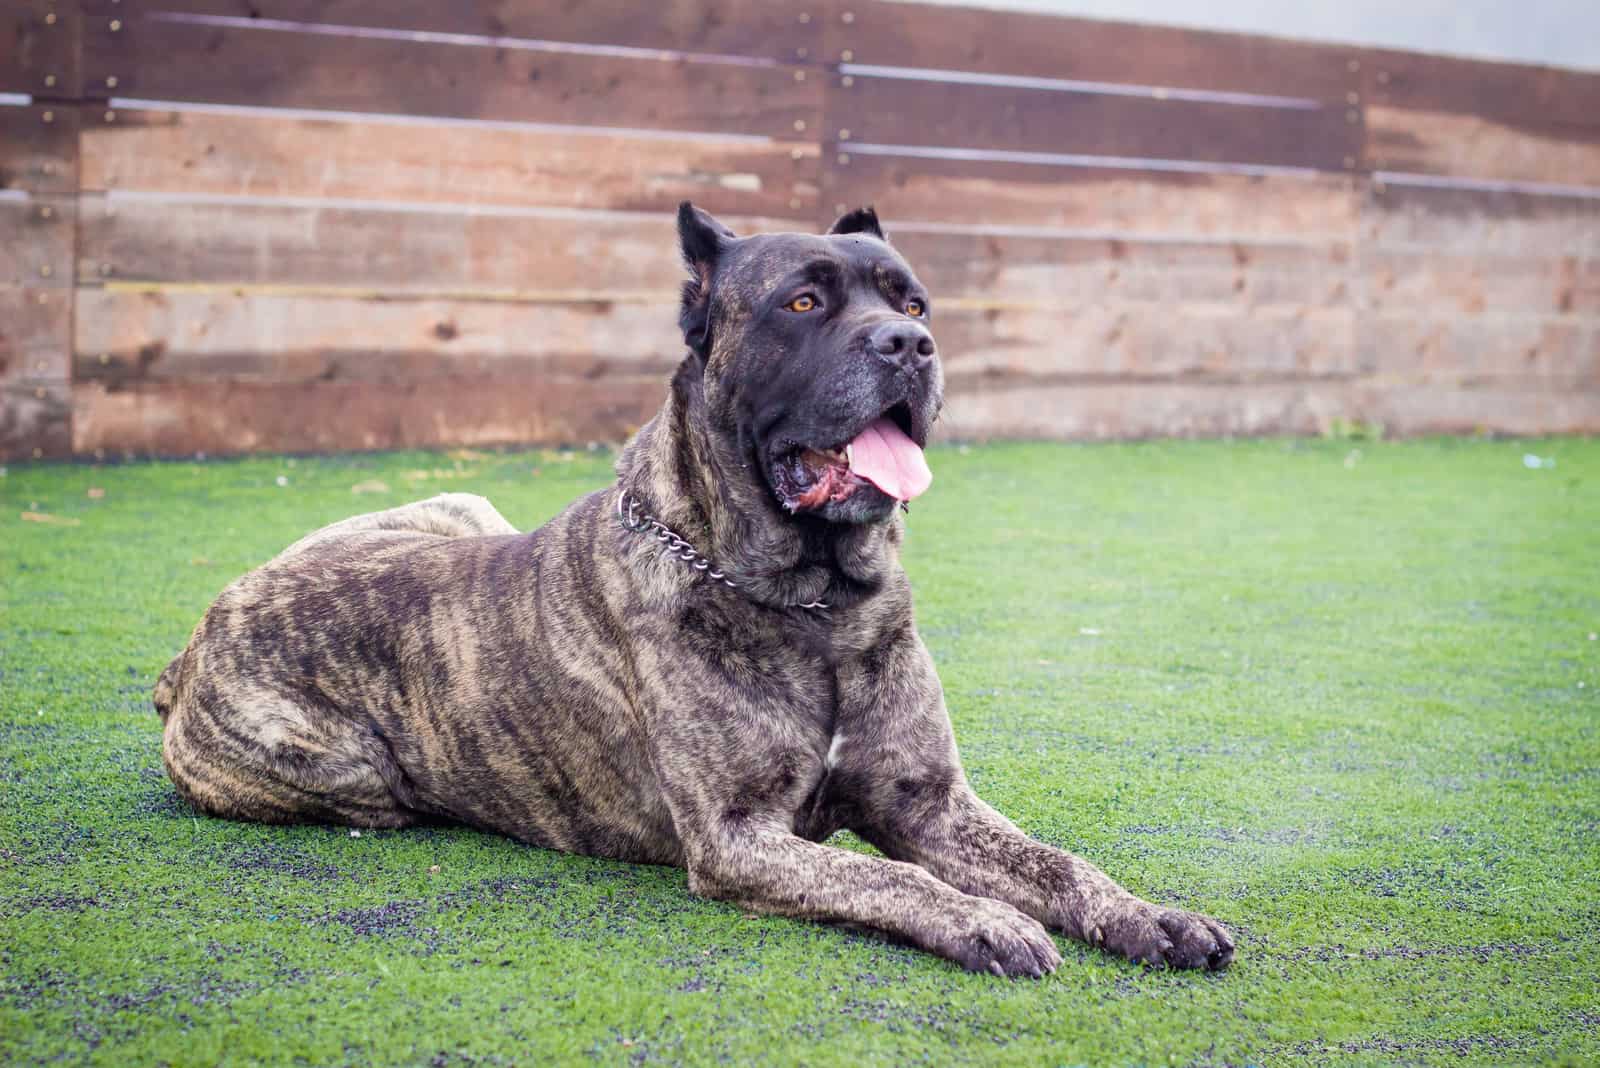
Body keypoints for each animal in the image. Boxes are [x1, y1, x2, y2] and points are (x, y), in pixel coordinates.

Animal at [156, 202, 1235, 978]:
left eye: (915, 304)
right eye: (802, 304)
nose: (907, 347)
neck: (814, 599)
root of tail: (197, 638)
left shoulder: (930, 803)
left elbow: (1057, 860)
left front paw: (1150, 915)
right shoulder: (737, 836)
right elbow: (877, 871)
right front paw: (984, 919)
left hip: (462, 504)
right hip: (353, 775)